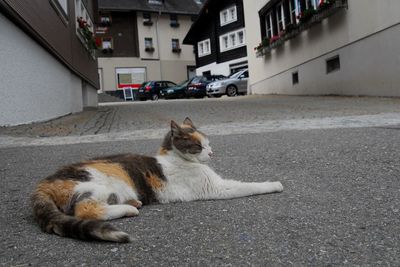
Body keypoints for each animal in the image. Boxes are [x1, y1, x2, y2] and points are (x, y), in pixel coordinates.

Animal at [31, 118, 282, 244]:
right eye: (199, 146)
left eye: (209, 144)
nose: (212, 153)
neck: (175, 157)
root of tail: (43, 182)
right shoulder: (216, 188)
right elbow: (249, 186)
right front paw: (275, 184)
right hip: (94, 185)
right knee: (85, 210)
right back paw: (130, 209)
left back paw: (133, 203)